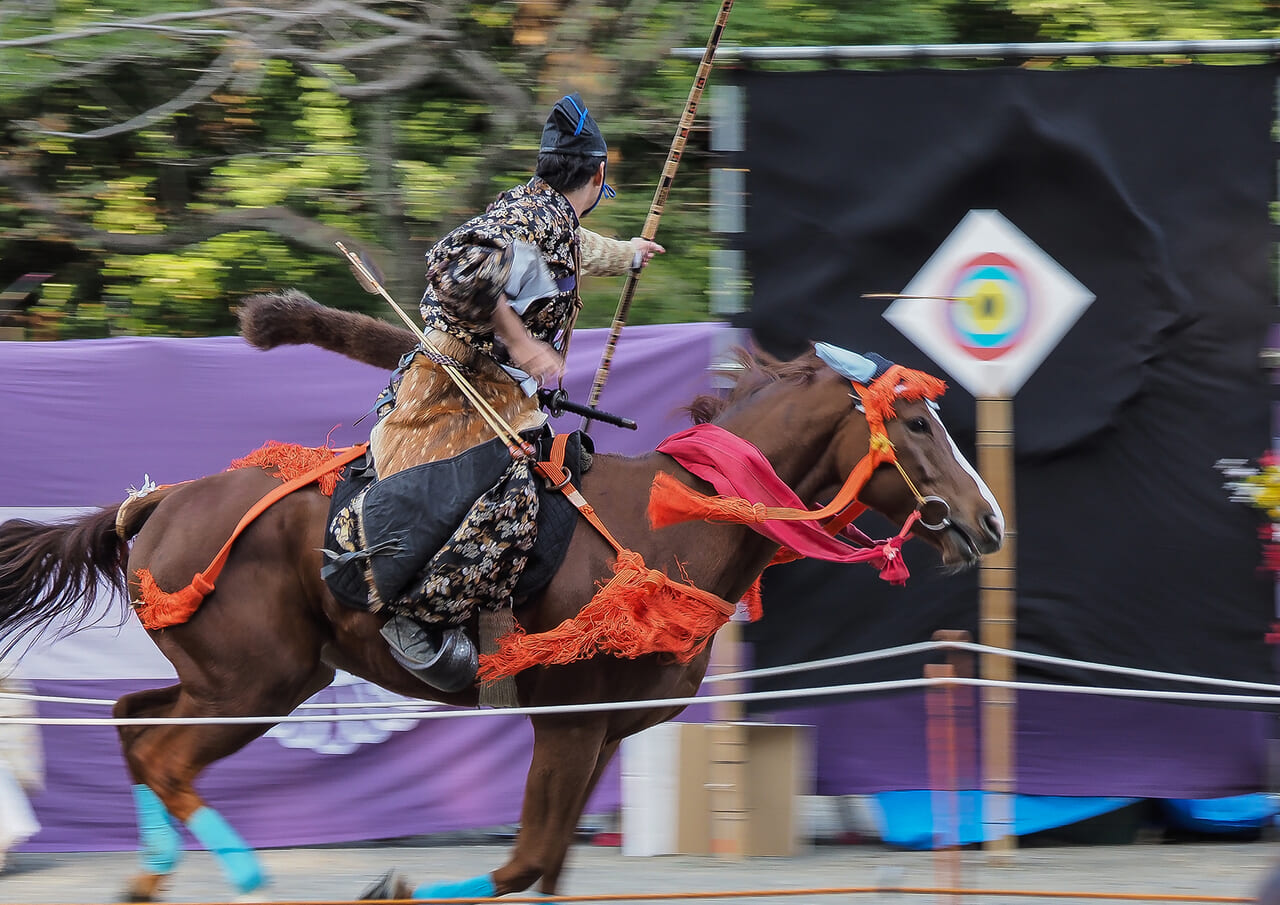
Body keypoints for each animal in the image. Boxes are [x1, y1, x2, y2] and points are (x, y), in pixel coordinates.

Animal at [0, 309, 998, 901]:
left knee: (134, 723)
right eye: (917, 422)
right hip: (254, 683)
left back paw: (155, 871)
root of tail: (159, 502)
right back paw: (245, 876)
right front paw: (391, 886)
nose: (987, 520)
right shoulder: (567, 719)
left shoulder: (604, 728)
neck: (665, 523)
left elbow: (546, 867)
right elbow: (521, 863)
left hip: (234, 678)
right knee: (164, 754)